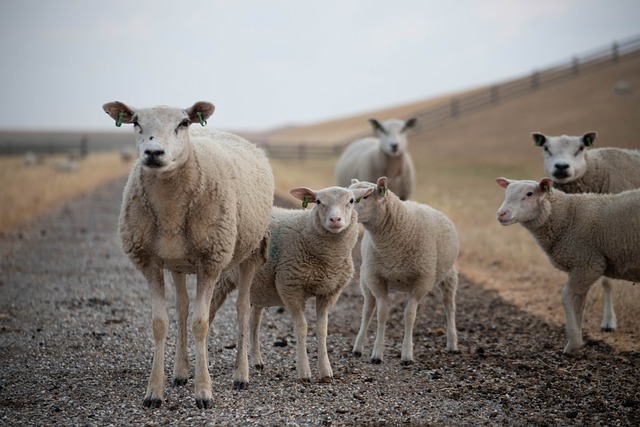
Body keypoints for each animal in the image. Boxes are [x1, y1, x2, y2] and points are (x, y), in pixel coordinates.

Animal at [102, 101, 276, 412]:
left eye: (183, 123)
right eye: (136, 122)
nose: (153, 153)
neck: (170, 209)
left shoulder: (211, 261)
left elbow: (201, 324)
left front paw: (204, 392)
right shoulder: (149, 262)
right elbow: (160, 324)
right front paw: (154, 391)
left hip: (252, 251)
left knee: (243, 308)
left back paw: (241, 374)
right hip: (178, 263)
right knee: (182, 308)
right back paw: (181, 372)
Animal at [208, 186, 372, 382]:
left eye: (351, 201)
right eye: (318, 201)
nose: (335, 220)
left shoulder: (329, 292)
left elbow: (322, 329)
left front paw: (326, 371)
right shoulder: (290, 286)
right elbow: (302, 327)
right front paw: (304, 372)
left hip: (259, 285)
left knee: (254, 321)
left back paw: (257, 360)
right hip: (221, 280)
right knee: (209, 315)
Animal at [348, 176, 458, 364]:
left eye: (365, 197)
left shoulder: (421, 281)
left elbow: (409, 315)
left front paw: (407, 354)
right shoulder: (377, 278)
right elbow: (381, 313)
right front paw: (377, 354)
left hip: (449, 276)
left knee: (449, 306)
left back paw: (452, 344)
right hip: (365, 278)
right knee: (367, 310)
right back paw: (358, 347)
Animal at [496, 177, 640, 354]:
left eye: (529, 194)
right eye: (507, 192)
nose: (501, 214)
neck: (568, 215)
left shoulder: (588, 264)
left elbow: (566, 297)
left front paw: (573, 343)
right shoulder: (582, 267)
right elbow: (578, 304)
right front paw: (577, 340)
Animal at [528, 132, 640, 332]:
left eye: (580, 148)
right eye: (546, 148)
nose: (561, 166)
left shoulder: (611, 237)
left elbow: (606, 281)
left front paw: (608, 322)